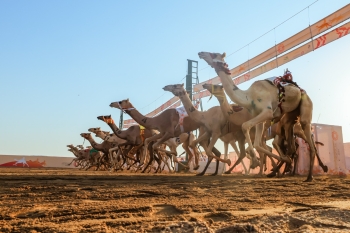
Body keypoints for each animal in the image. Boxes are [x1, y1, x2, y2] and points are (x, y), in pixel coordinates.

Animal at [200, 51, 318, 182]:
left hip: (305, 104)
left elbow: (245, 126)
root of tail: (299, 88)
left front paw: (256, 164)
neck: (248, 97)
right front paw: (259, 164)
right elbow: (257, 144)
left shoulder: (267, 112)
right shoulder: (259, 117)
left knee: (309, 139)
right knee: (291, 144)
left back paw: (309, 176)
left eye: (213, 54)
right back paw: (281, 169)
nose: (201, 53)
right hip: (289, 117)